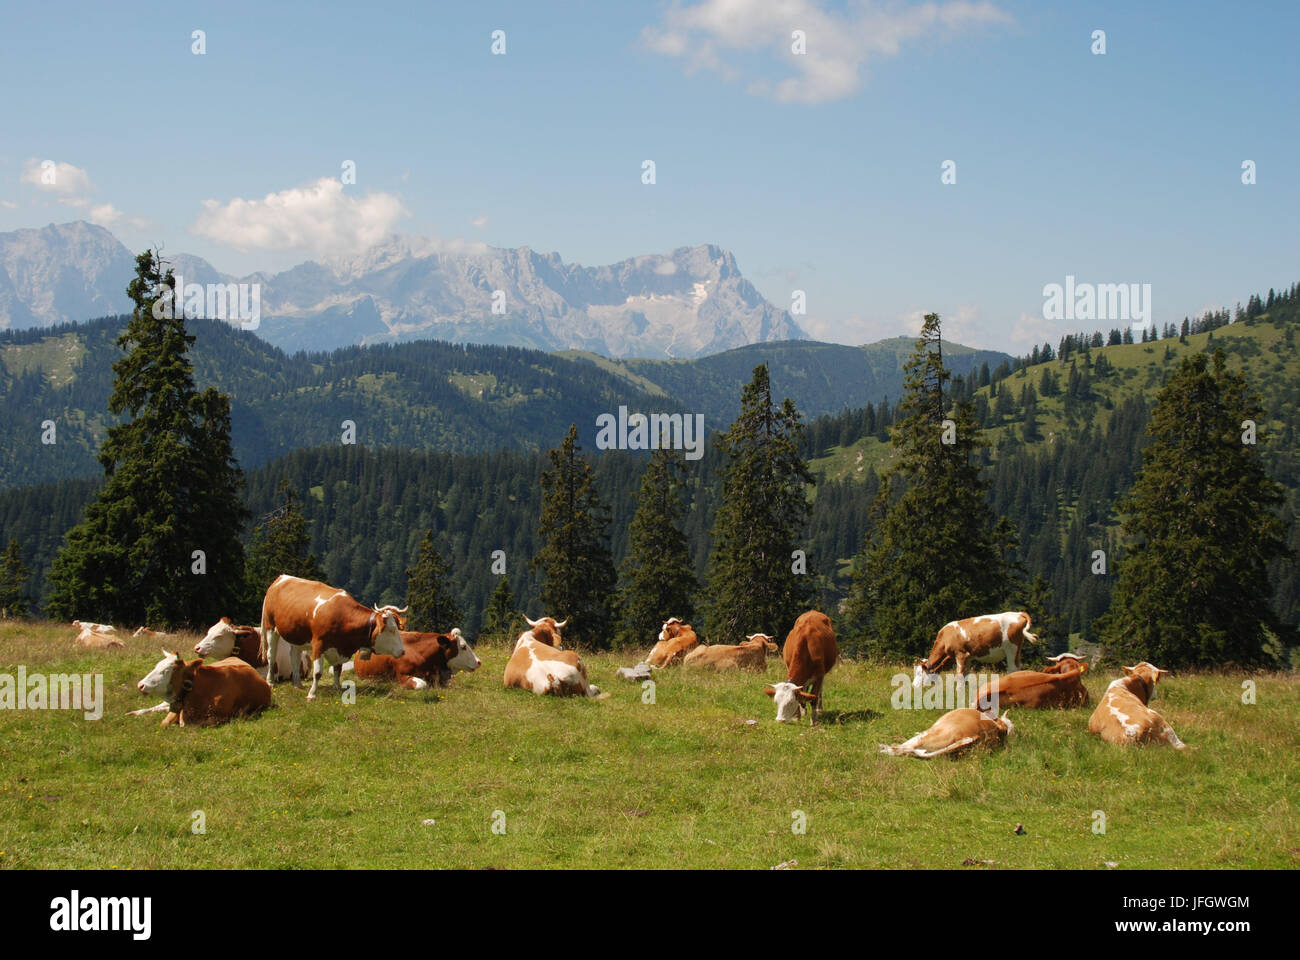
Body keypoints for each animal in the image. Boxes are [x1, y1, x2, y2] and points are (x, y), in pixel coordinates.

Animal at [128, 649, 273, 727]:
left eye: (166, 670)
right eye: (157, 665)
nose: (140, 684)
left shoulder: (221, 717)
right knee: (156, 707)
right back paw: (133, 713)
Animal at [259, 574, 406, 700]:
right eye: (392, 630)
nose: (403, 651)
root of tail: (280, 578)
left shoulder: (339, 648)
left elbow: (338, 669)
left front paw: (337, 687)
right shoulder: (318, 644)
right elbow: (317, 672)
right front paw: (312, 694)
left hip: (296, 635)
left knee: (294, 657)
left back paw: (298, 684)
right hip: (270, 628)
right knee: (271, 655)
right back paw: (270, 682)